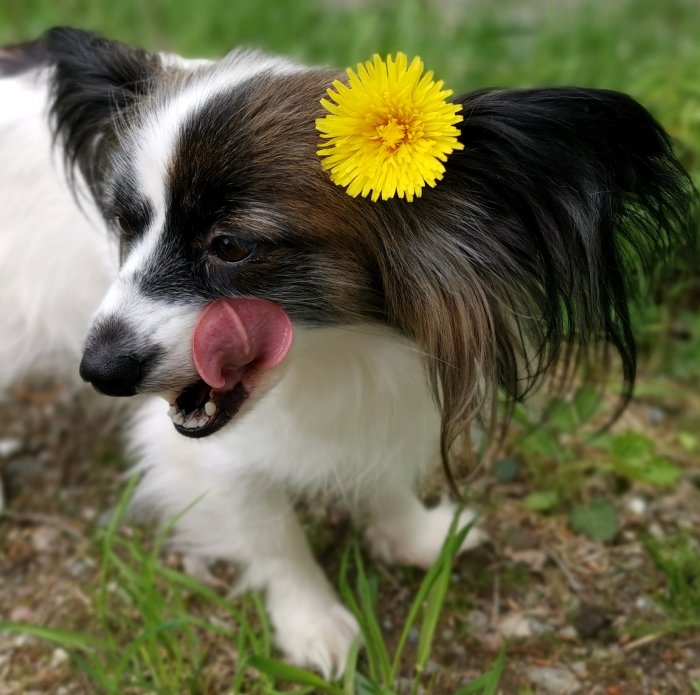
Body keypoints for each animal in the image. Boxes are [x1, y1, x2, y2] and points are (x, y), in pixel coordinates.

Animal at [0, 28, 696, 680]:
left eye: (231, 246)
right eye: (127, 224)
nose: (98, 372)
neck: (332, 350)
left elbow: (380, 470)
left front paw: (412, 533)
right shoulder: (200, 453)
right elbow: (273, 535)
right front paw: (313, 624)